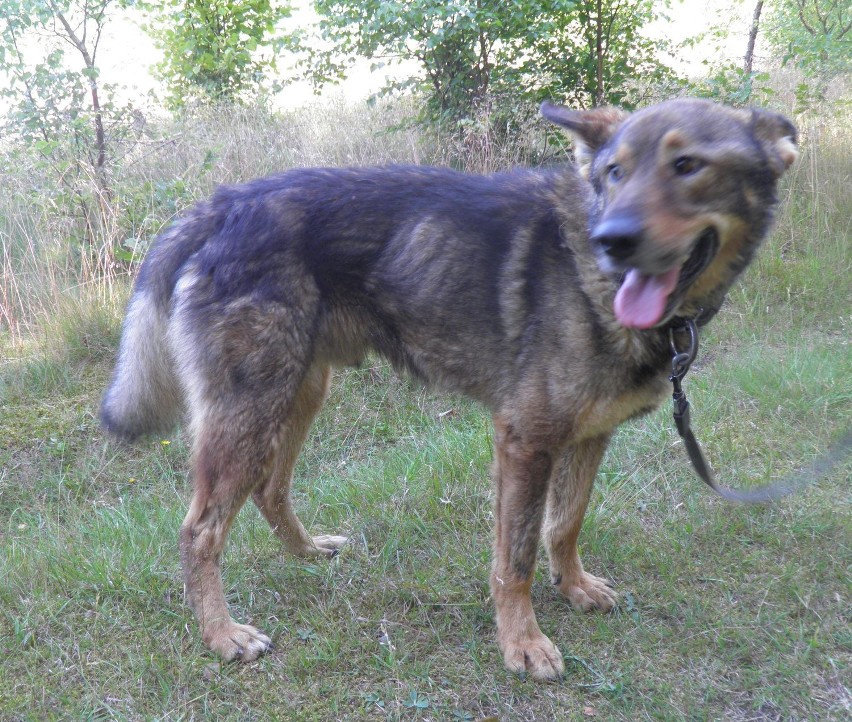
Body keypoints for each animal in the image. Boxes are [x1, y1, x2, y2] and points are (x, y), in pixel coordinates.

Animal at [101, 98, 800, 676]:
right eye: (613, 173)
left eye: (688, 165)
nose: (614, 241)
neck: (587, 273)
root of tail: (221, 204)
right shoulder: (525, 443)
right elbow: (515, 560)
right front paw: (522, 642)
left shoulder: (587, 437)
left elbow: (565, 524)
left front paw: (572, 587)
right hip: (251, 412)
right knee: (200, 532)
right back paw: (221, 636)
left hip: (298, 394)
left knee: (270, 490)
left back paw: (307, 553)